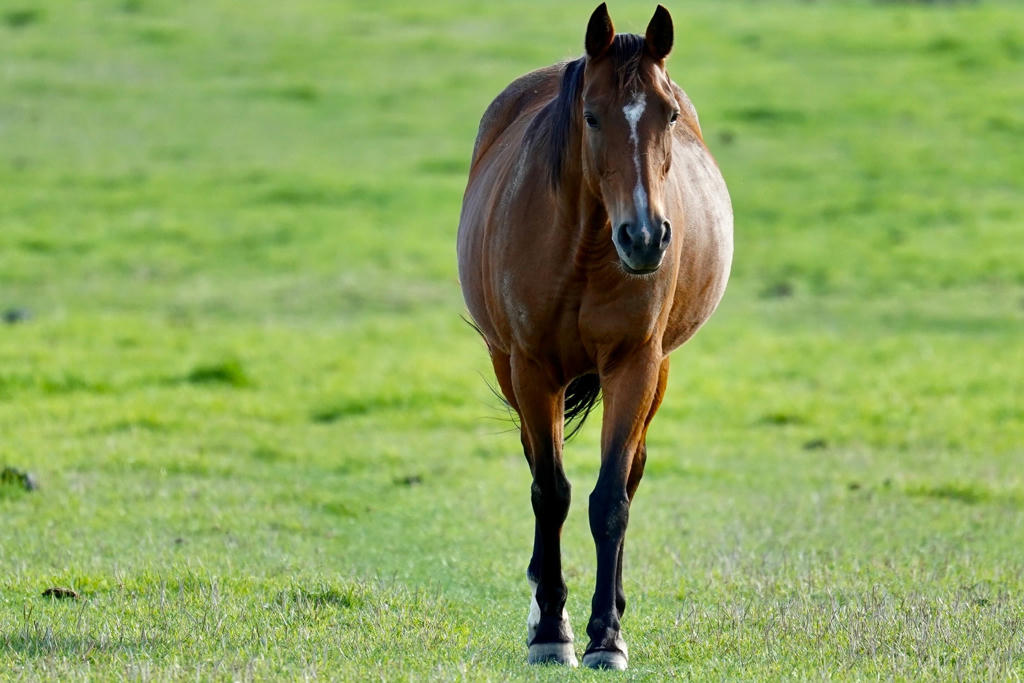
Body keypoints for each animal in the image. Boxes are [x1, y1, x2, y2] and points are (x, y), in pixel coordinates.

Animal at [457, 3, 733, 670]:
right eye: (591, 115)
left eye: (670, 114)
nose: (645, 237)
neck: (584, 247)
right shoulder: (532, 368)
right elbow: (550, 492)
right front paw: (552, 632)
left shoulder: (635, 364)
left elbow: (610, 500)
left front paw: (606, 635)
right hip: (508, 365)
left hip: (658, 372)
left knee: (630, 475)